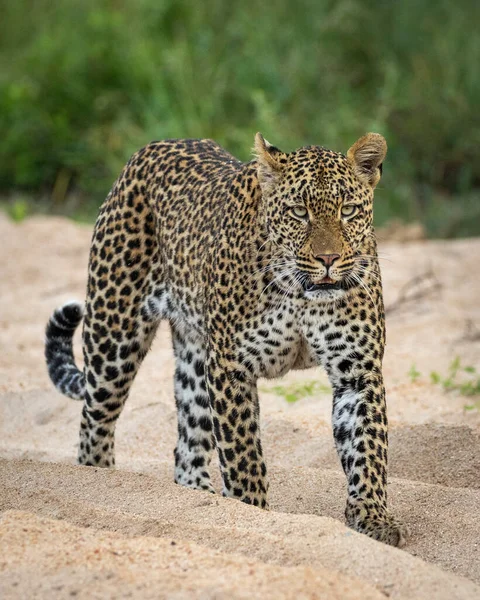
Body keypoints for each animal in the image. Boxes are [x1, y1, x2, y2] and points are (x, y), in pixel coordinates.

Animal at [45, 132, 408, 548]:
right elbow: (242, 454)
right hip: (113, 337)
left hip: (194, 360)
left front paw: (372, 518)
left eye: (348, 210)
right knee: (95, 422)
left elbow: (368, 447)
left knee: (187, 443)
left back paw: (197, 500)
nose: (329, 259)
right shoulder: (231, 366)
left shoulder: (358, 372)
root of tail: (150, 148)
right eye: (299, 212)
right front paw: (252, 515)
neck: (301, 294)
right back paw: (99, 479)